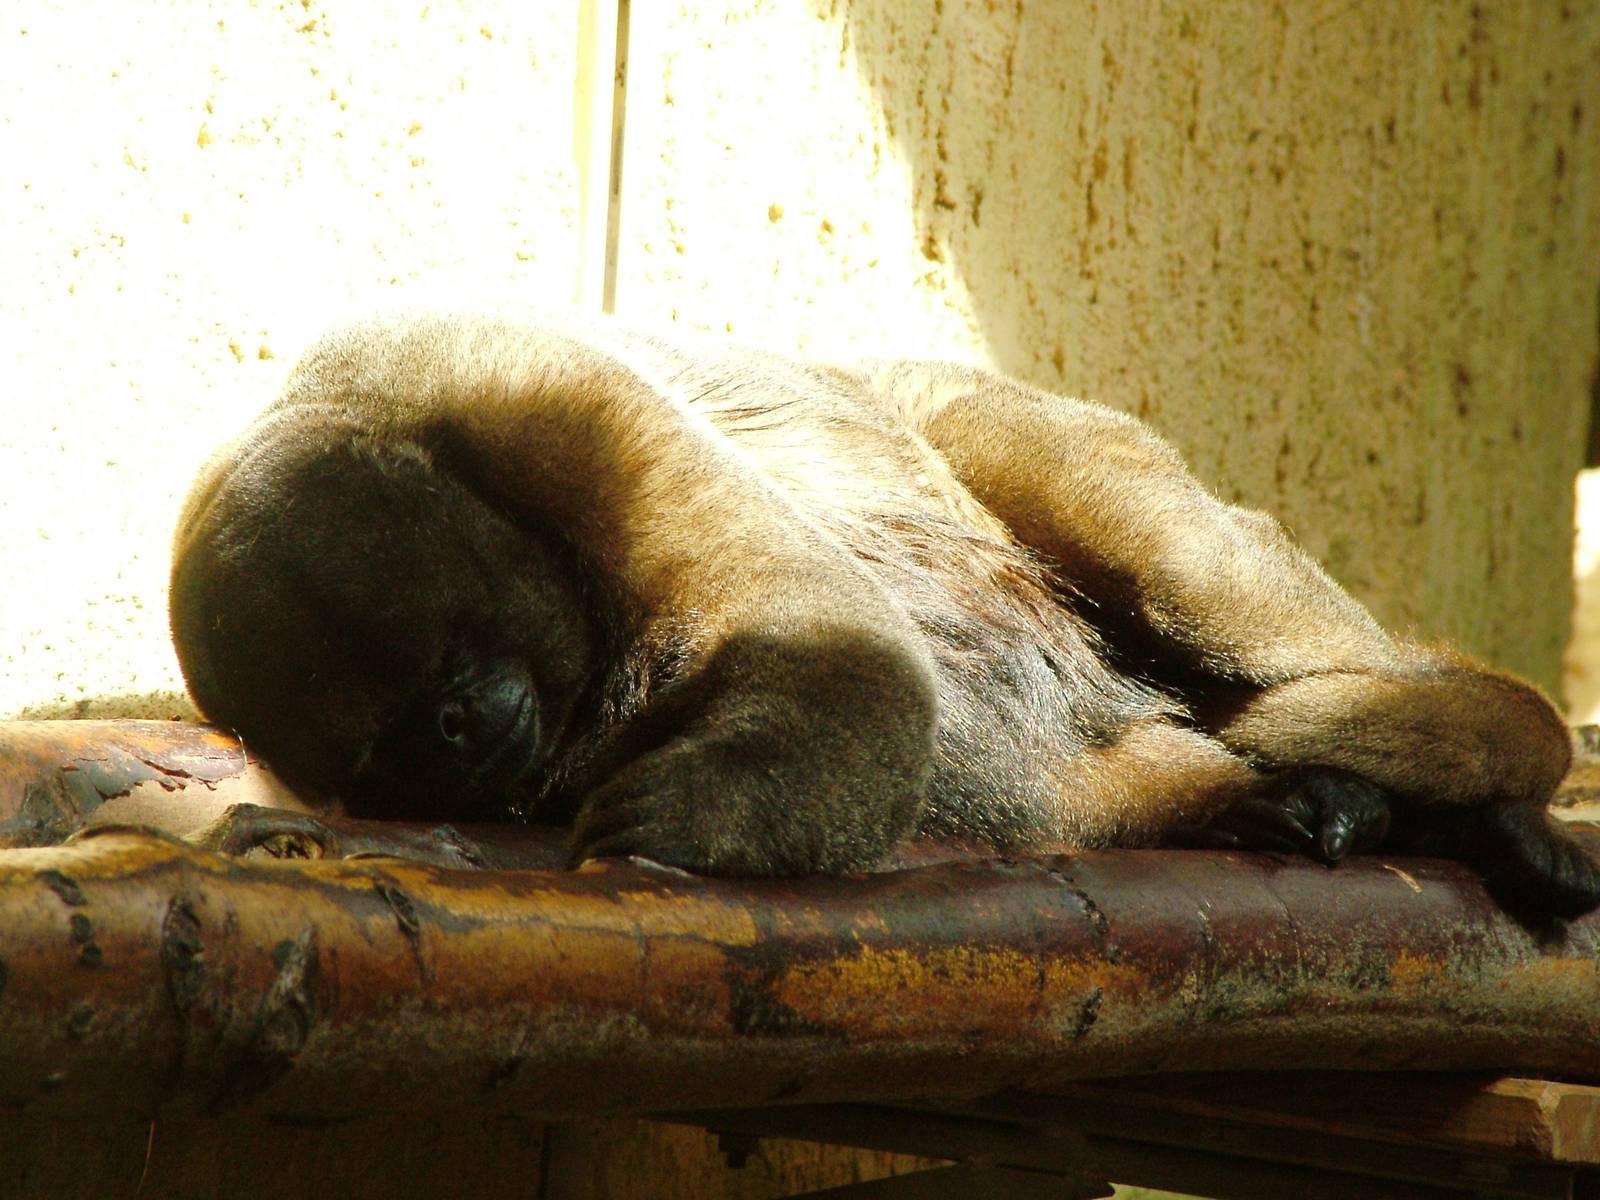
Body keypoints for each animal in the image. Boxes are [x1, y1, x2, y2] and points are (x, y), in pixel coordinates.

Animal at [169, 310, 1600, 920]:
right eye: (389, 742)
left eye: (447, 660)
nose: (460, 730)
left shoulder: (538, 398)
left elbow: (843, 650)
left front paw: (686, 819)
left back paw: (1480, 766)